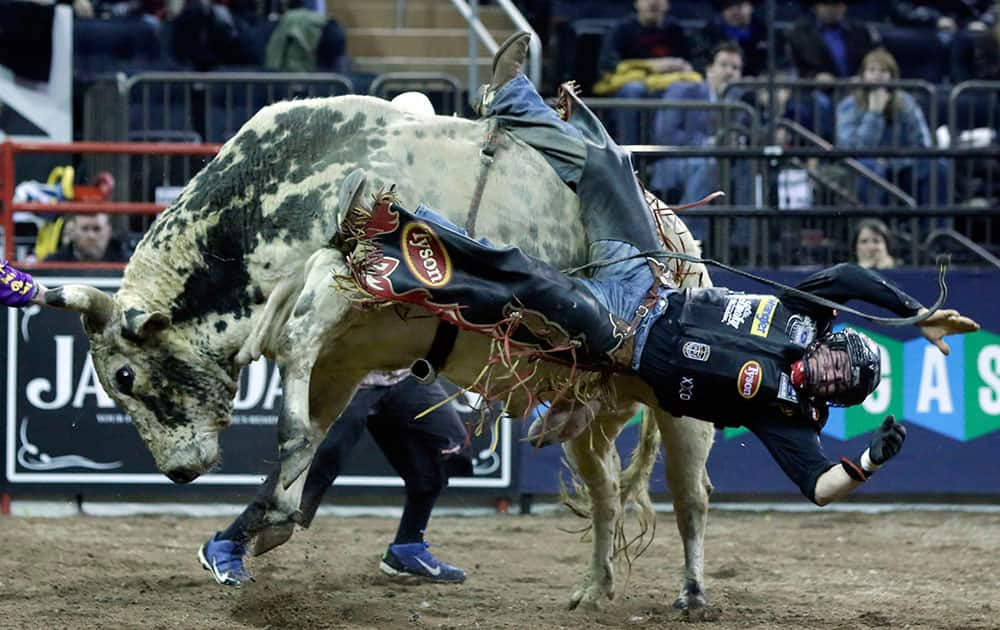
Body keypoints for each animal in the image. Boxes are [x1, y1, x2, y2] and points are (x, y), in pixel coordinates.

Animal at [43, 96, 716, 616]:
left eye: (125, 375)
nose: (179, 472)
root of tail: (682, 244)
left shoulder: (337, 283)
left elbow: (296, 390)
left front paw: (271, 515)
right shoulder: (342, 355)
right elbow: (311, 429)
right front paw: (268, 521)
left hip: (683, 409)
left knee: (691, 499)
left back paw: (691, 594)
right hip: (591, 412)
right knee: (604, 493)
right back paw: (593, 589)